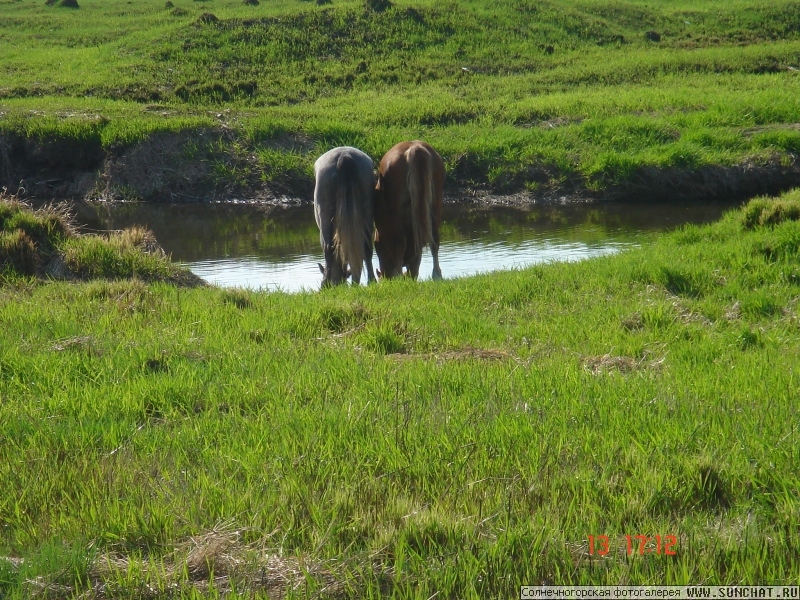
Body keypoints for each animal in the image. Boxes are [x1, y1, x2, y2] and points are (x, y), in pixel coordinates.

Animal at [374, 142, 444, 280]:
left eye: (377, 245)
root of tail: (415, 147)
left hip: (397, 209)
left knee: (401, 240)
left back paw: (398, 272)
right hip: (435, 204)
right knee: (434, 238)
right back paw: (437, 274)